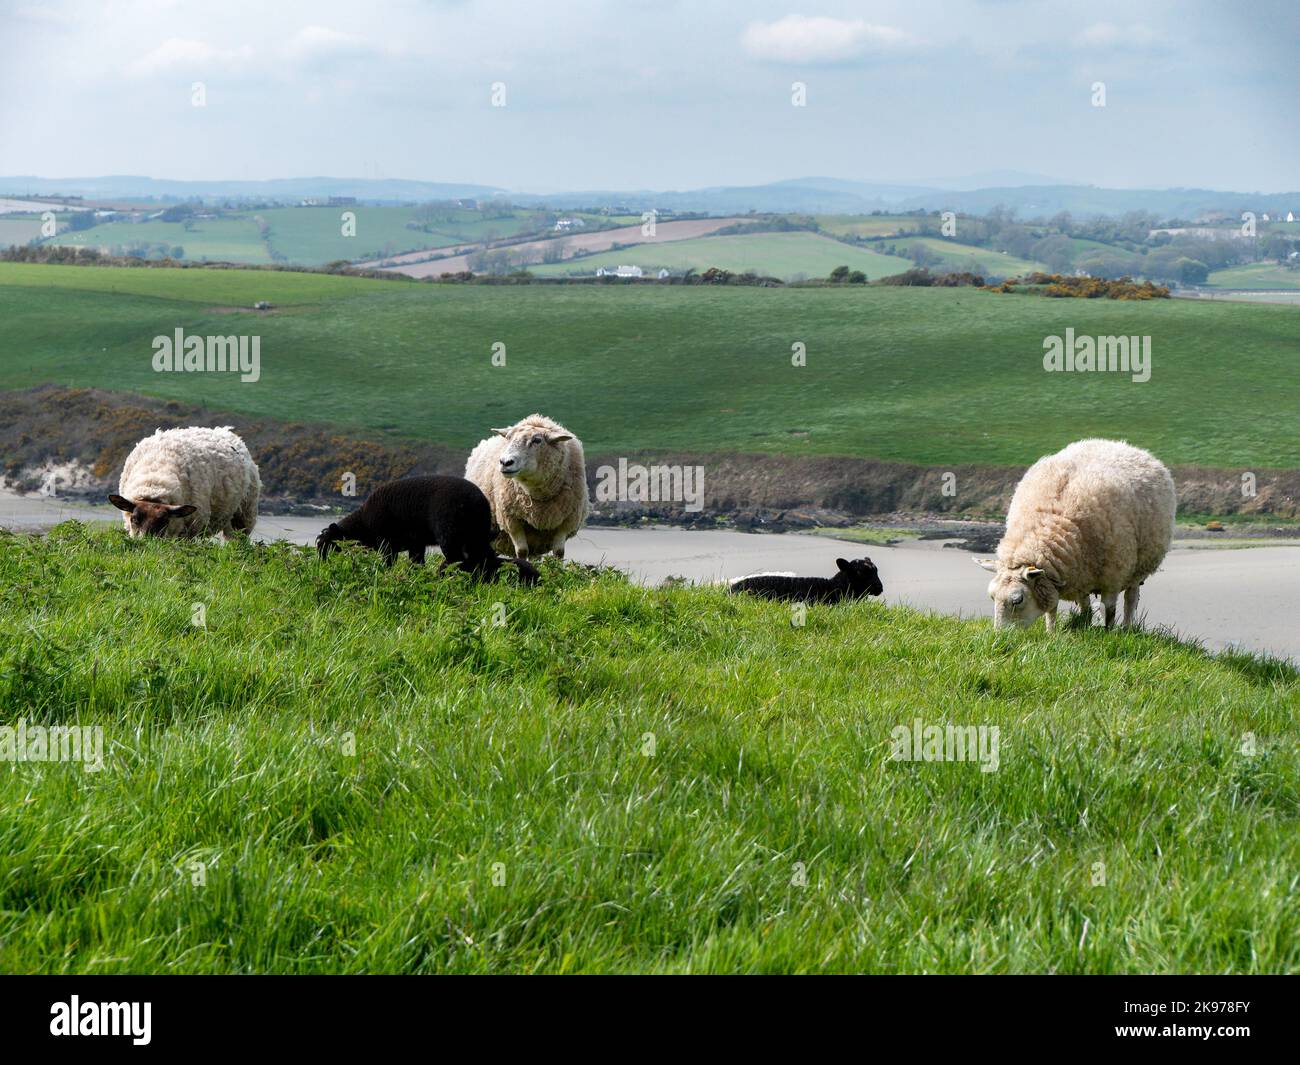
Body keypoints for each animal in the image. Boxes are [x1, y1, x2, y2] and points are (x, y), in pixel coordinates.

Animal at [108, 426, 260, 539]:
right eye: (134, 519)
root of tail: (227, 431)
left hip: (244, 513)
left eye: (164, 521)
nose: (145, 541)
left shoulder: (192, 526)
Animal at [316, 474, 539, 584]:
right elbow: (416, 563)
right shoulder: (416, 543)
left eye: (327, 544)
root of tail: (479, 502)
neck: (362, 526)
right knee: (483, 558)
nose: (322, 565)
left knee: (459, 559)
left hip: (450, 533)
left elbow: (388, 563)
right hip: (476, 536)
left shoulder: (386, 543)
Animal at [464, 413, 589, 560]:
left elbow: (558, 553)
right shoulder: (512, 520)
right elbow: (522, 551)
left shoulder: (566, 522)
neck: (539, 494)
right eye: (508, 438)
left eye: (537, 440)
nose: (505, 462)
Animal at [974, 438, 1175, 631]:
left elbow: (1109, 611)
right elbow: (1053, 611)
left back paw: (1126, 628)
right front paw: (1052, 633)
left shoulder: (1112, 578)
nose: (1001, 636)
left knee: (1130, 599)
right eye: (992, 597)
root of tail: (1121, 445)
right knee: (1087, 603)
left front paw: (1108, 633)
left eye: (1018, 600)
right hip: (1085, 575)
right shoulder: (1061, 578)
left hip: (1136, 570)